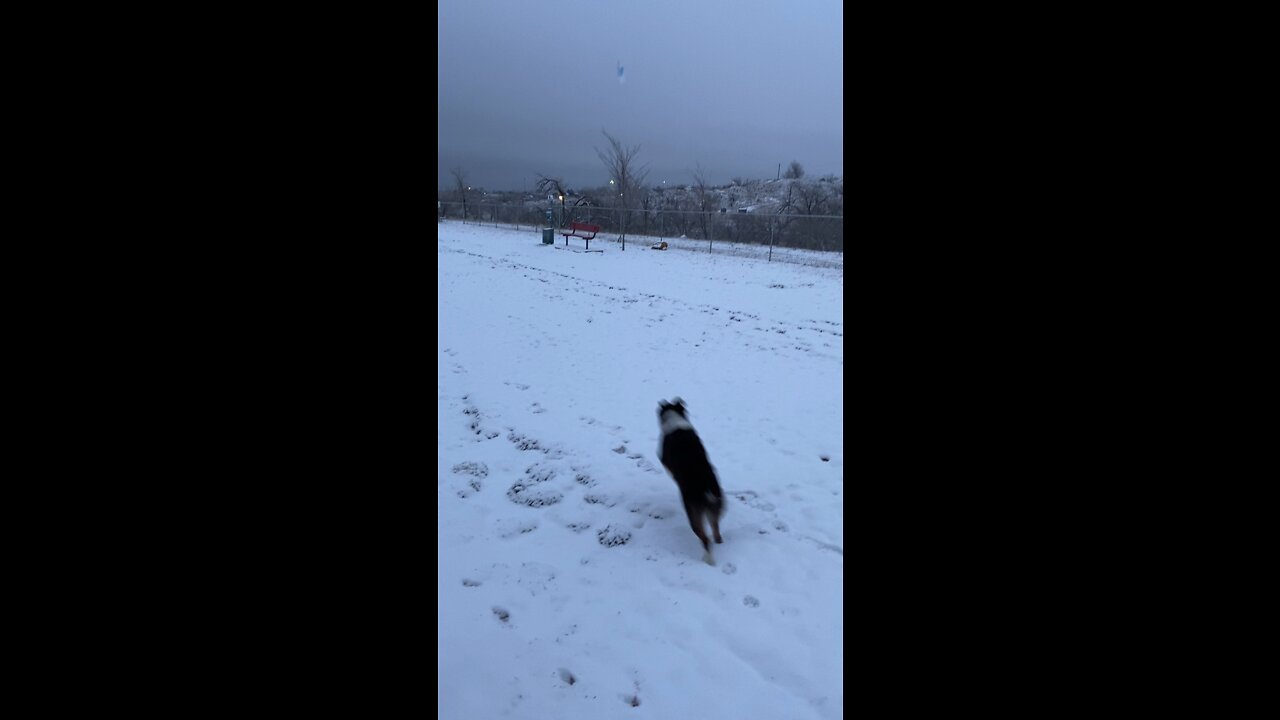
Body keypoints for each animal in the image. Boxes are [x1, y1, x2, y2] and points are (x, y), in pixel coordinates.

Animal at [655, 394, 727, 563]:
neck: (674, 416)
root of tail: (706, 488)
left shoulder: (663, 459)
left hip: (693, 512)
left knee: (704, 538)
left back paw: (707, 559)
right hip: (715, 507)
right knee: (716, 533)